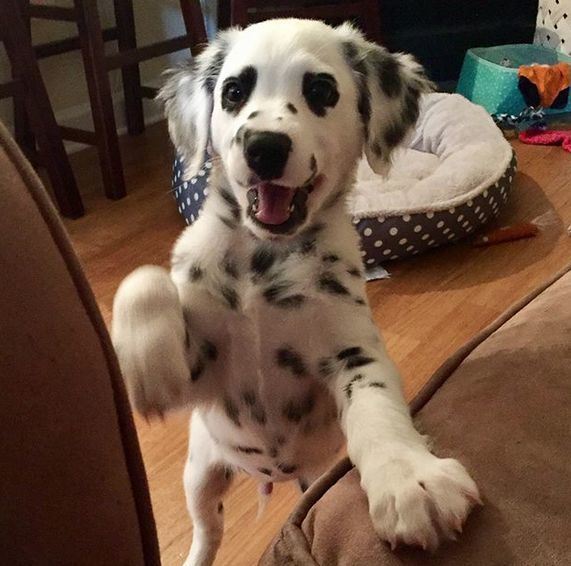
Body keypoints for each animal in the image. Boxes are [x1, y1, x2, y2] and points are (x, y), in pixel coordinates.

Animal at [112, 18, 481, 566]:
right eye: (234, 91)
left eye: (321, 90)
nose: (264, 147)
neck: (262, 264)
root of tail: (270, 475)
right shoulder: (200, 373)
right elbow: (144, 278)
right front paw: (148, 370)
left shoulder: (351, 355)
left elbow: (378, 412)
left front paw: (411, 481)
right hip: (200, 472)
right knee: (207, 531)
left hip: (305, 479)